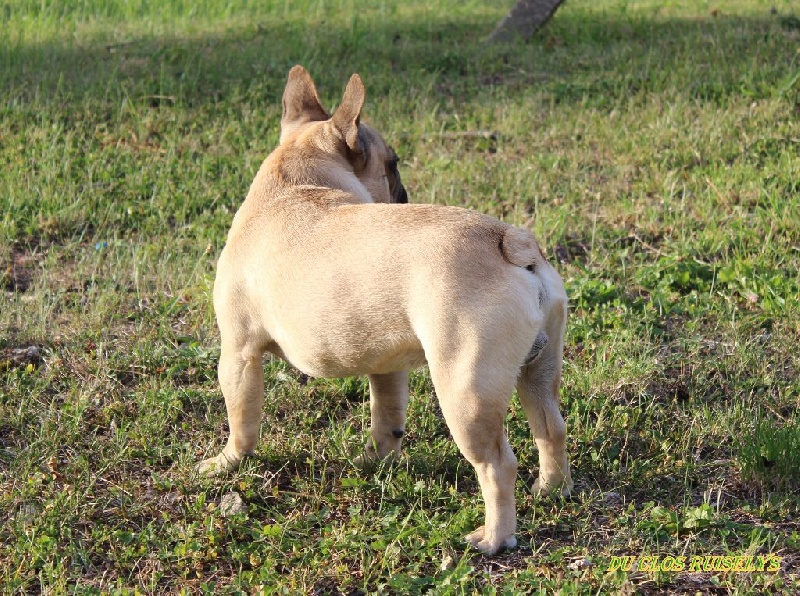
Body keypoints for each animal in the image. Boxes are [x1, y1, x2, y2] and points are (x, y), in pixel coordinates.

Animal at [200, 65, 576, 556]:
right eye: (394, 164)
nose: (404, 192)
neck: (297, 182)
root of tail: (509, 240)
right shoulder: (386, 362)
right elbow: (387, 415)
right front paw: (377, 461)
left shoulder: (238, 351)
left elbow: (241, 420)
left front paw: (227, 462)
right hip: (539, 367)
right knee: (550, 428)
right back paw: (552, 489)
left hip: (465, 390)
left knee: (497, 464)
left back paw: (494, 536)